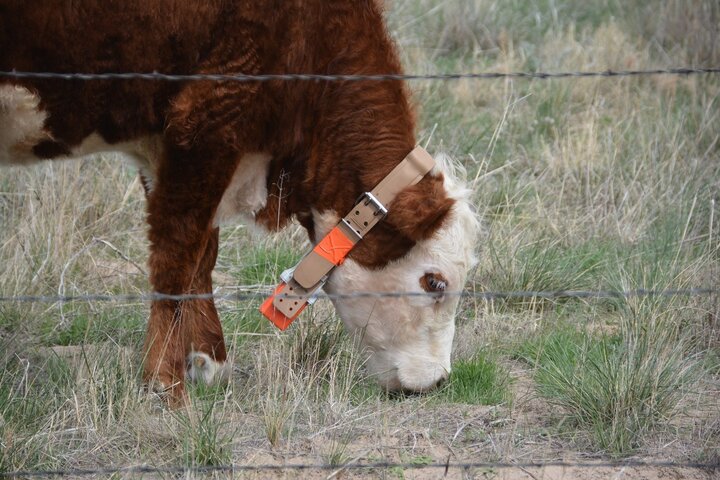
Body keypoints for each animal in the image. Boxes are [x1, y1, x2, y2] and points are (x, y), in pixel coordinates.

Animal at [1, 0, 484, 402]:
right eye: (435, 282)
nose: (439, 380)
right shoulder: (207, 120)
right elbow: (177, 254)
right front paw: (165, 384)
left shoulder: (169, 146)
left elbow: (202, 252)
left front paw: (206, 362)